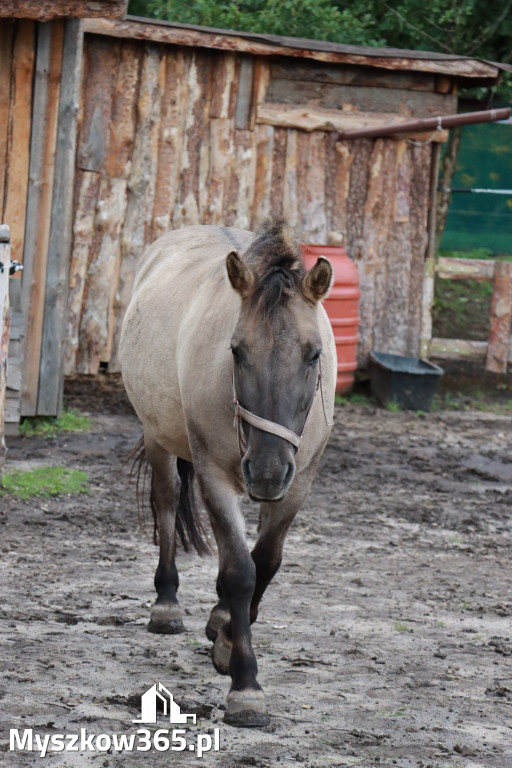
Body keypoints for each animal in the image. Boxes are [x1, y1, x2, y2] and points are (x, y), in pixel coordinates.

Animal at [119, 216, 336, 728]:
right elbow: (239, 571)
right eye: (236, 352)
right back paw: (166, 606)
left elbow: (267, 562)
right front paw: (245, 685)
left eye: (314, 354)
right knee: (165, 503)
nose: (268, 471)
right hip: (158, 436)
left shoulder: (300, 483)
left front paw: (224, 636)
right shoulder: (215, 476)